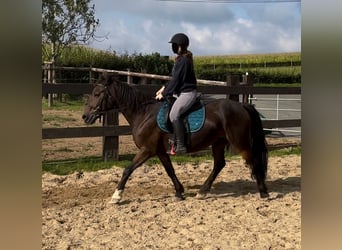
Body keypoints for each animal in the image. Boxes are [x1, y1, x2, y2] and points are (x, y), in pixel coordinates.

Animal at [83, 73, 270, 203]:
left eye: (97, 93)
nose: (85, 116)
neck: (143, 114)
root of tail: (242, 106)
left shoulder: (147, 150)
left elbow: (128, 170)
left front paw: (116, 196)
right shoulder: (159, 151)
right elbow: (170, 170)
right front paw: (179, 192)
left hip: (240, 143)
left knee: (253, 161)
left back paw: (264, 192)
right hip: (218, 142)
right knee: (219, 164)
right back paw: (202, 192)